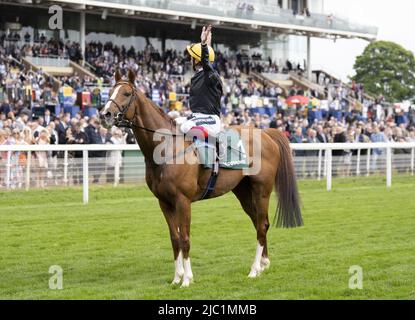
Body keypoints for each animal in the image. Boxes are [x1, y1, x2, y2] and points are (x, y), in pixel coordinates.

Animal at [101, 70, 302, 288]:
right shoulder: (164, 202)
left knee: (262, 224)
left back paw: (254, 269)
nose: (105, 114)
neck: (166, 148)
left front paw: (187, 279)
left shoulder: (183, 201)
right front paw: (176, 277)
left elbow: (185, 238)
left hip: (262, 189)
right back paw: (264, 263)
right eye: (110, 92)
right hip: (243, 191)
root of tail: (266, 133)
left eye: (127, 93)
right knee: (259, 222)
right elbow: (174, 238)